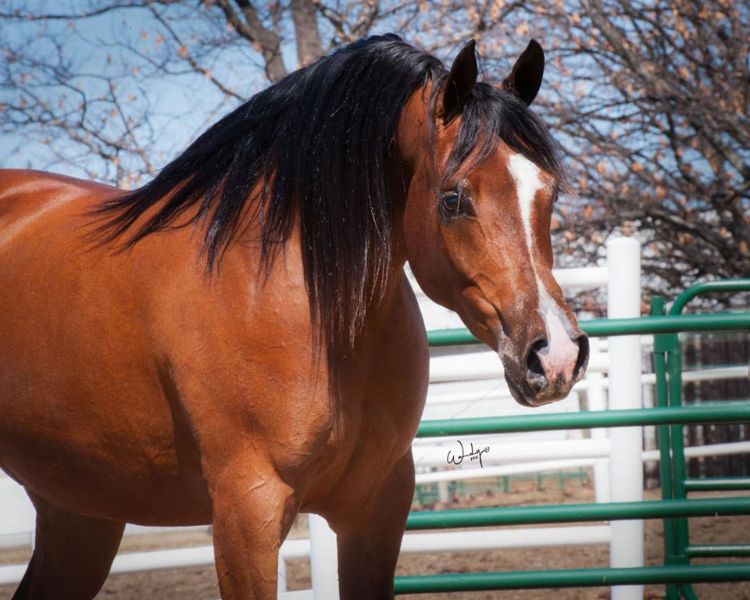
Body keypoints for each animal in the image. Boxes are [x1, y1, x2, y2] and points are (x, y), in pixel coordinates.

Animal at [0, 35, 588, 596]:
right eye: (452, 199)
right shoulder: (247, 516)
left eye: (549, 193)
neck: (319, 319)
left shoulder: (377, 510)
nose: (557, 356)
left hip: (80, 512)